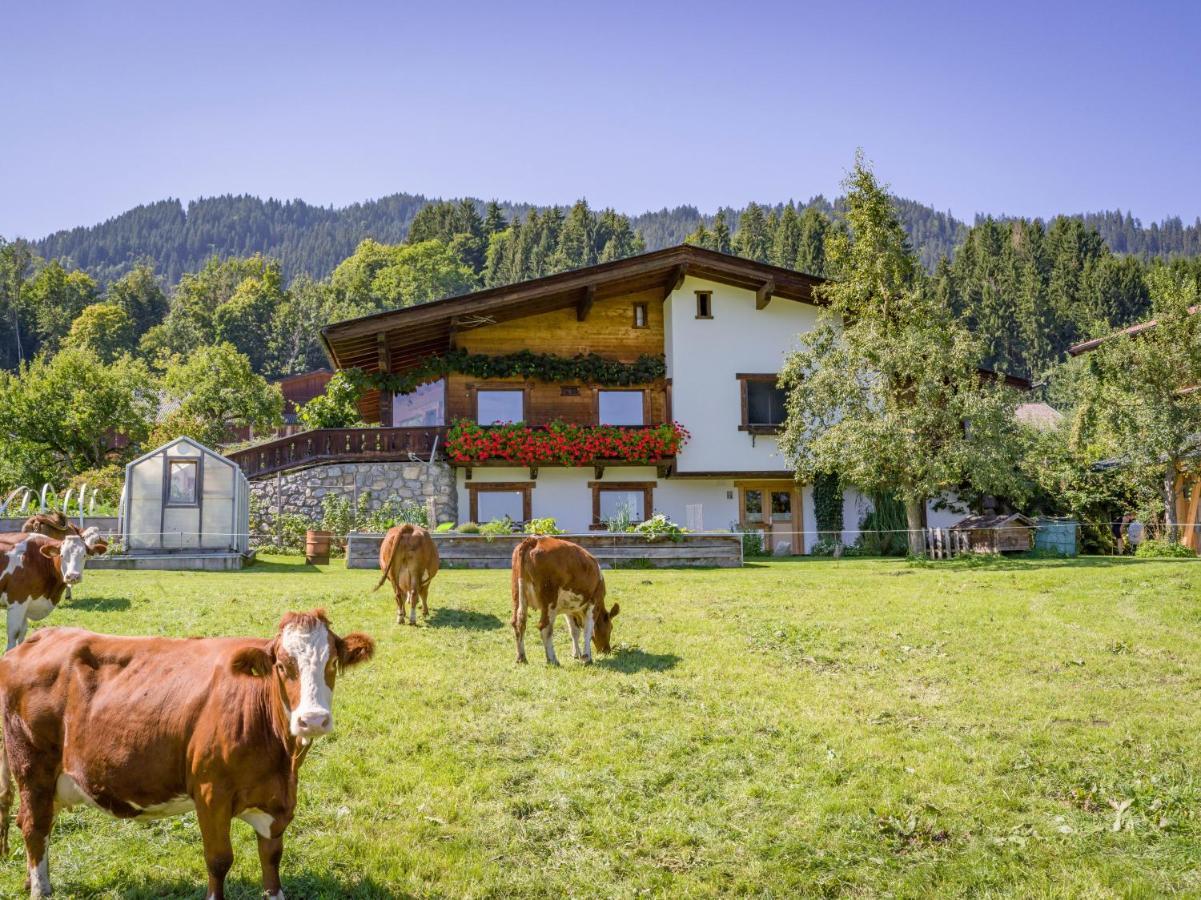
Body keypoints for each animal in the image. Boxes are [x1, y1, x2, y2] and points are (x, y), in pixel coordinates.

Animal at [0, 608, 372, 898]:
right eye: (282, 665)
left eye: (332, 663)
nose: (313, 719)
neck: (281, 759)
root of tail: (35, 640)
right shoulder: (210, 794)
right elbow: (219, 860)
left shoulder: (275, 801)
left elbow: (272, 859)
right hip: (32, 764)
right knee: (34, 825)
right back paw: (41, 889)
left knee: (35, 823)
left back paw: (30, 880)